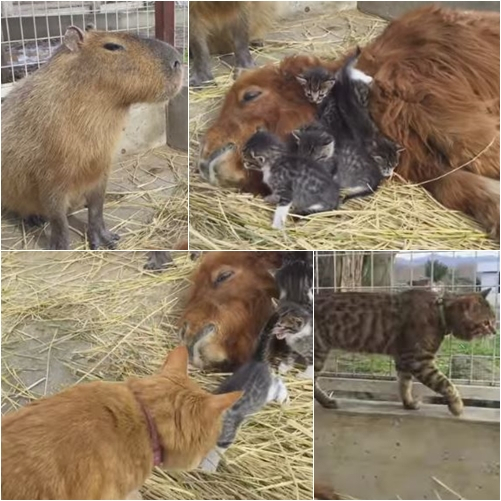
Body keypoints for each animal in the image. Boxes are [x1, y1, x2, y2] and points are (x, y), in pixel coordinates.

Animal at [197, 312, 288, 472]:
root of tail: (257, 360)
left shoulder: (225, 435)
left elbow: (216, 450)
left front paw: (208, 466)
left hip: (267, 392)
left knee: (277, 382)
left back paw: (283, 397)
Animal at [199, 6, 500, 238]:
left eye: (250, 95)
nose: (204, 156)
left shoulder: (447, 117)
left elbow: (480, 152)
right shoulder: (424, 162)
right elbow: (460, 187)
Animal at [314, 288, 494, 416]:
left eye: (494, 321)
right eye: (486, 323)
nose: (495, 331)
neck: (439, 313)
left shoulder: (404, 359)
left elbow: (404, 384)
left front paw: (408, 403)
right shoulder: (419, 360)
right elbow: (445, 383)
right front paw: (457, 406)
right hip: (318, 353)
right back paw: (326, 402)